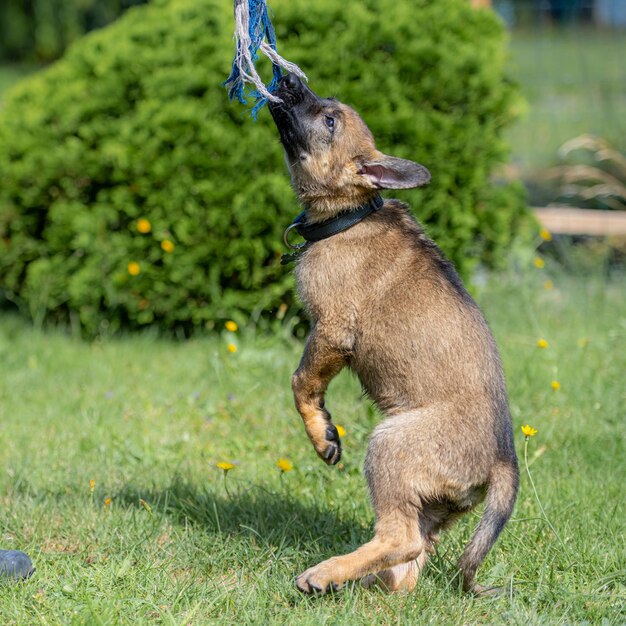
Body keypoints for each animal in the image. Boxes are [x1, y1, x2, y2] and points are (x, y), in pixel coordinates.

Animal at [268, 74, 516, 596]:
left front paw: (322, 435)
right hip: (432, 506)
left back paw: (323, 574)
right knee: (408, 562)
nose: (288, 78)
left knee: (399, 540)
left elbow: (301, 383)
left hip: (390, 446)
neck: (351, 213)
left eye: (329, 120)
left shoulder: (332, 329)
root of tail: (504, 460)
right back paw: (359, 587)